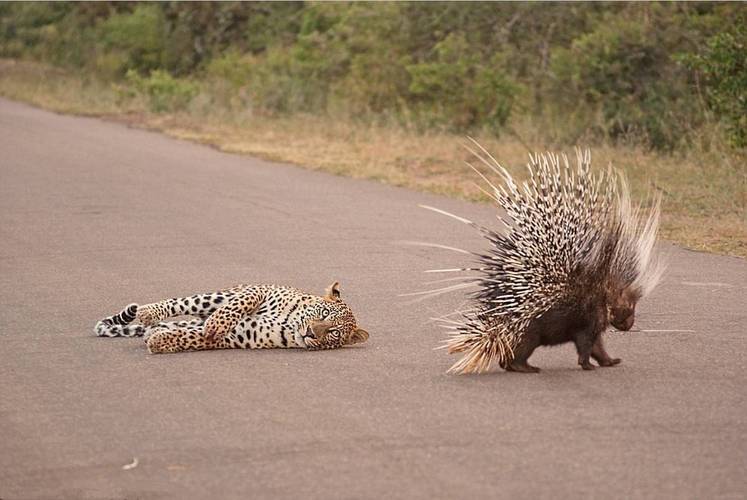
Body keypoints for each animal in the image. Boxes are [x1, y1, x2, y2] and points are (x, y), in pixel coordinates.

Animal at [95, 282, 370, 356]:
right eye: (323, 314)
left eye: (334, 332)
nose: (311, 333)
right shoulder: (261, 289)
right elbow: (239, 305)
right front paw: (217, 323)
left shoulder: (243, 336)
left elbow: (195, 338)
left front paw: (160, 342)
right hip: (216, 296)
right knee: (181, 303)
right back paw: (148, 312)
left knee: (185, 325)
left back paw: (155, 332)